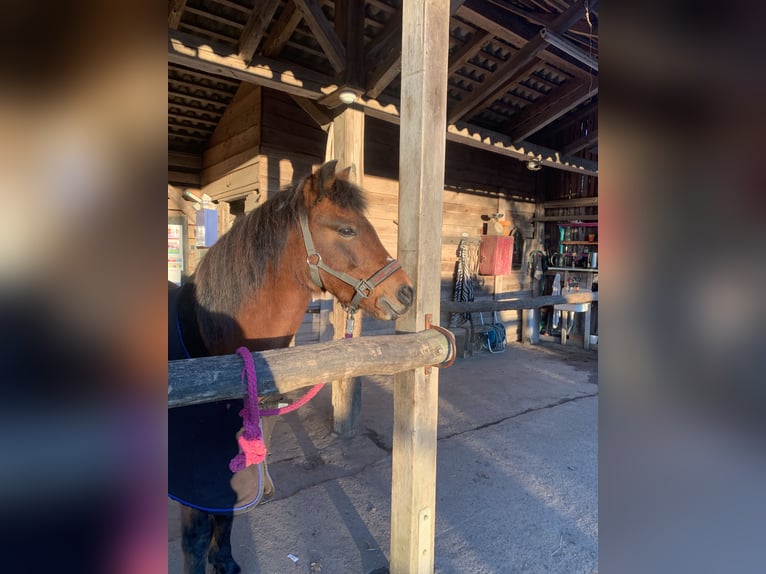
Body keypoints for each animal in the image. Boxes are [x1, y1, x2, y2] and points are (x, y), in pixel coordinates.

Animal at [170, 162, 414, 574]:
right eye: (346, 229)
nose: (406, 293)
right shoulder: (194, 480)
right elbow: (196, 540)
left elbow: (228, 514)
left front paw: (225, 561)